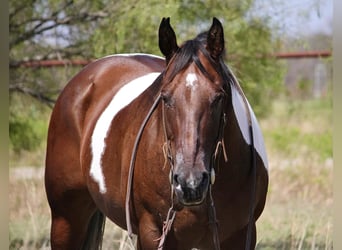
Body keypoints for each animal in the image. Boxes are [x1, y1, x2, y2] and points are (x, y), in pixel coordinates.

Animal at [45, 16, 268, 249]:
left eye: (218, 97)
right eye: (165, 97)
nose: (190, 183)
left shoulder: (240, 235)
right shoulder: (153, 233)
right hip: (66, 219)